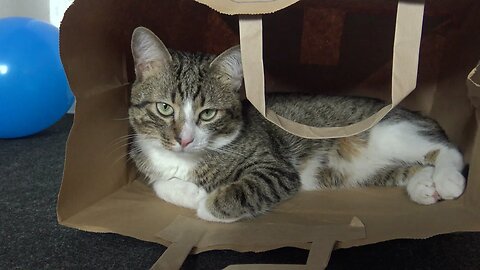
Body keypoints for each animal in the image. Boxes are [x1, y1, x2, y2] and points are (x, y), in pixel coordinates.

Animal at [127, 26, 464, 223]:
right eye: (164, 108)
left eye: (208, 114)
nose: (184, 140)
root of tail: (420, 114)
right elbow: (159, 184)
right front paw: (189, 192)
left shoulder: (276, 169)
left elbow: (239, 193)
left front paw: (205, 201)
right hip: (372, 172)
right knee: (414, 167)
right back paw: (425, 187)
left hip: (391, 132)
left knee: (449, 152)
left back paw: (448, 180)